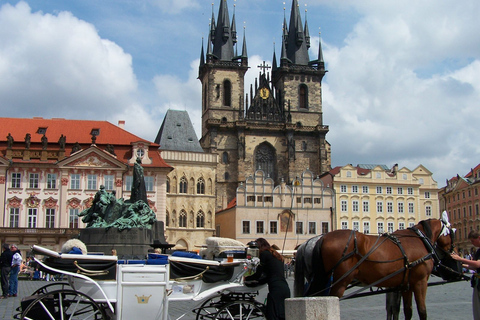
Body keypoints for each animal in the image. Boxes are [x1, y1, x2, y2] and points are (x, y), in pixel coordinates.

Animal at [294, 218, 460, 320]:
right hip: (339, 282)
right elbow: (422, 311)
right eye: (452, 234)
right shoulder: (420, 282)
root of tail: (322, 238)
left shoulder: (406, 285)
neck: (419, 239)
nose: (456, 255)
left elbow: (407, 311)